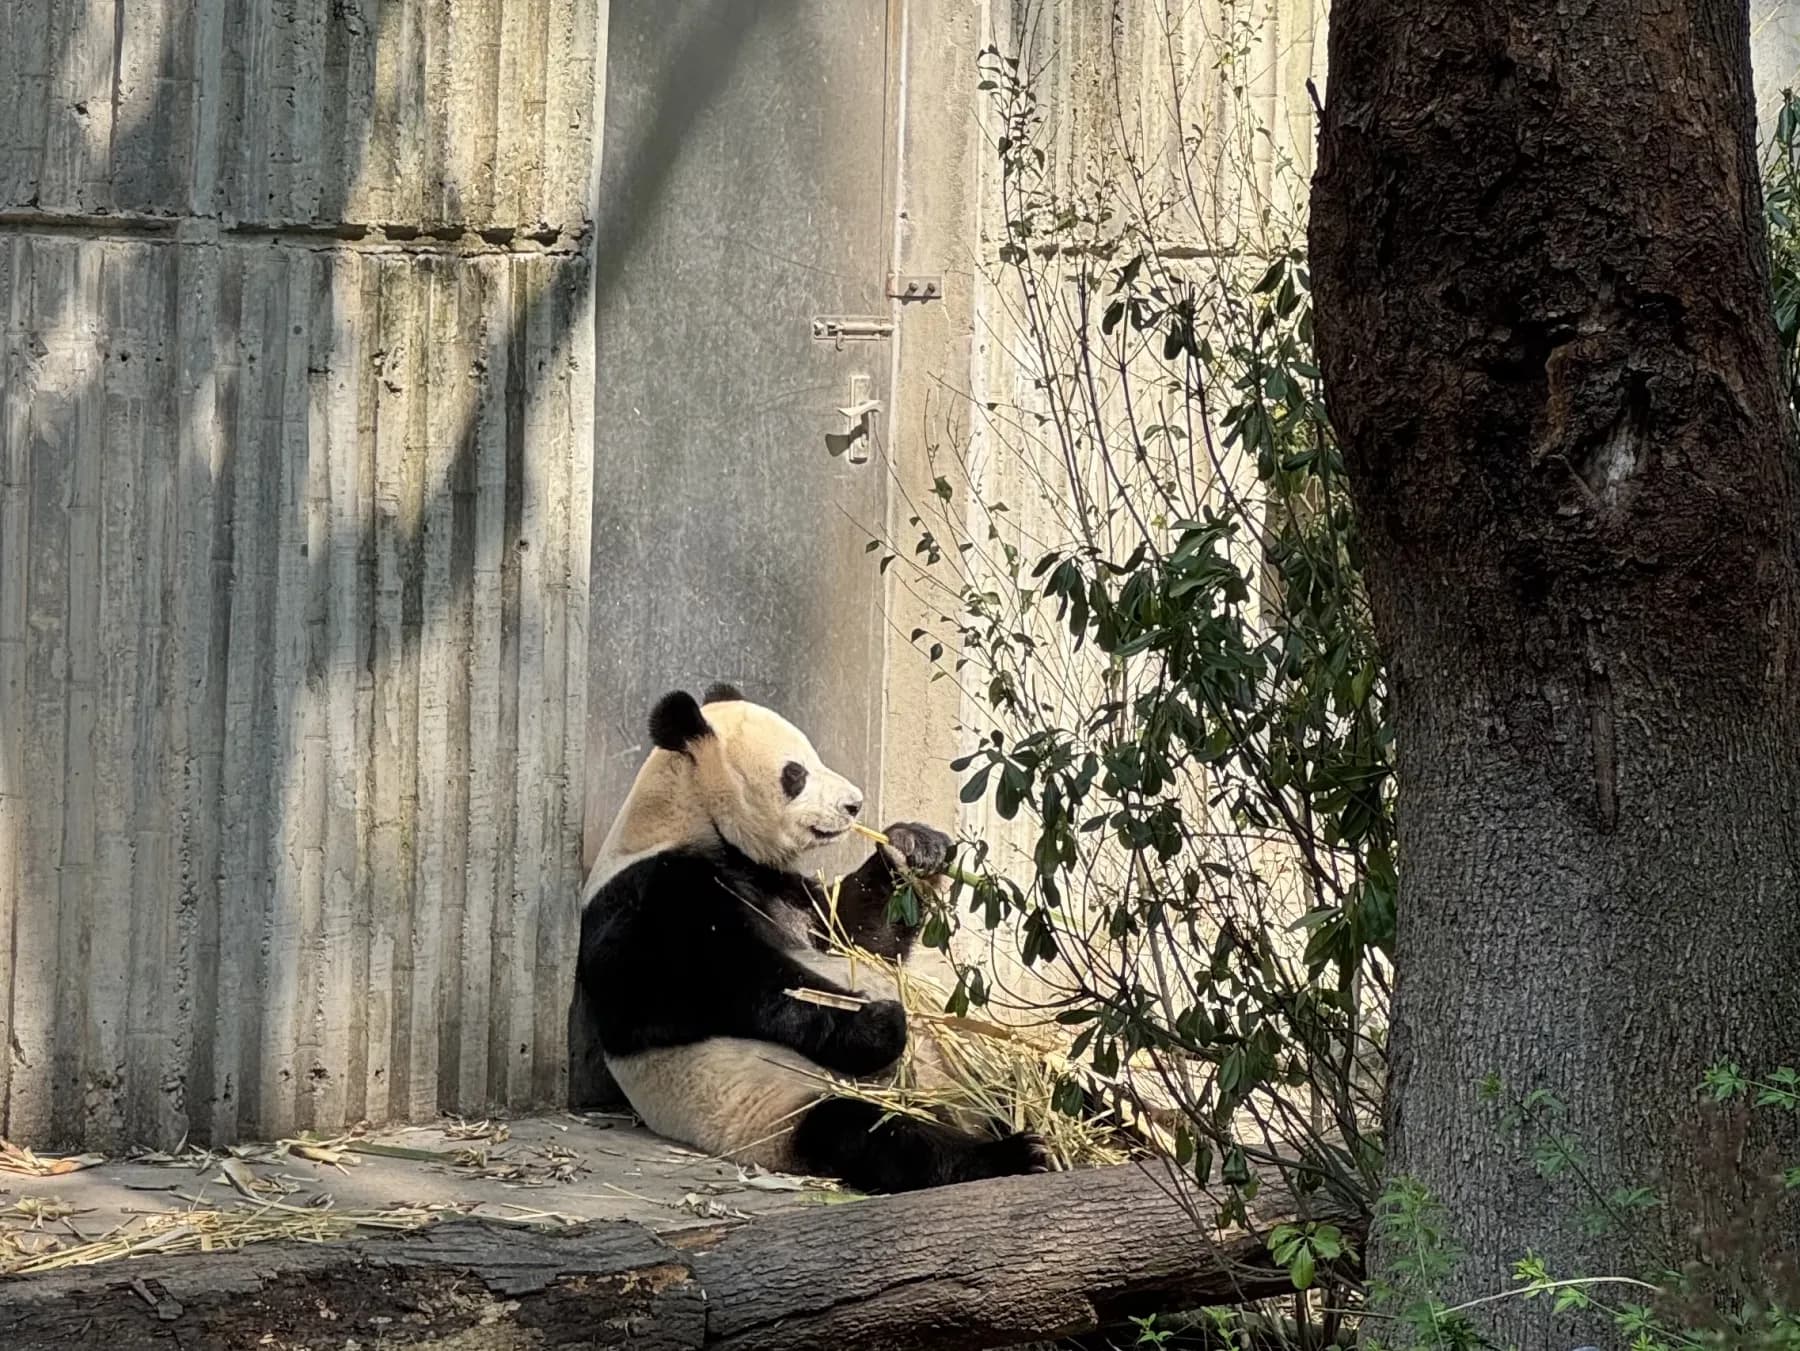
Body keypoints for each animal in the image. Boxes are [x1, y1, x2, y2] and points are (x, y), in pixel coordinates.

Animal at [572, 683, 1050, 1194]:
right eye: (795, 774)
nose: (854, 804)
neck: (688, 819)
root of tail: (953, 1105)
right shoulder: (647, 899)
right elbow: (719, 985)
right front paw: (878, 1020)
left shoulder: (781, 886)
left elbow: (857, 933)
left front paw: (913, 846)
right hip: (788, 1103)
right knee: (875, 1132)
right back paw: (1014, 1154)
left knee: (1017, 1072)